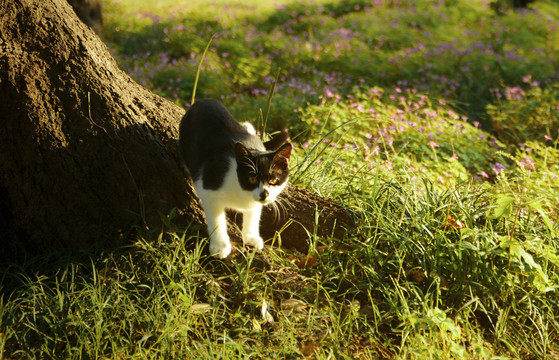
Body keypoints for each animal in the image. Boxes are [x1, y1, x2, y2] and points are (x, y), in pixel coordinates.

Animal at [179, 99, 294, 258]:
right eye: (252, 178)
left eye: (273, 180)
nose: (264, 194)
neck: (242, 192)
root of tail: (203, 100)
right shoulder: (210, 182)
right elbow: (216, 218)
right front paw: (219, 246)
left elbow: (254, 213)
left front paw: (251, 236)